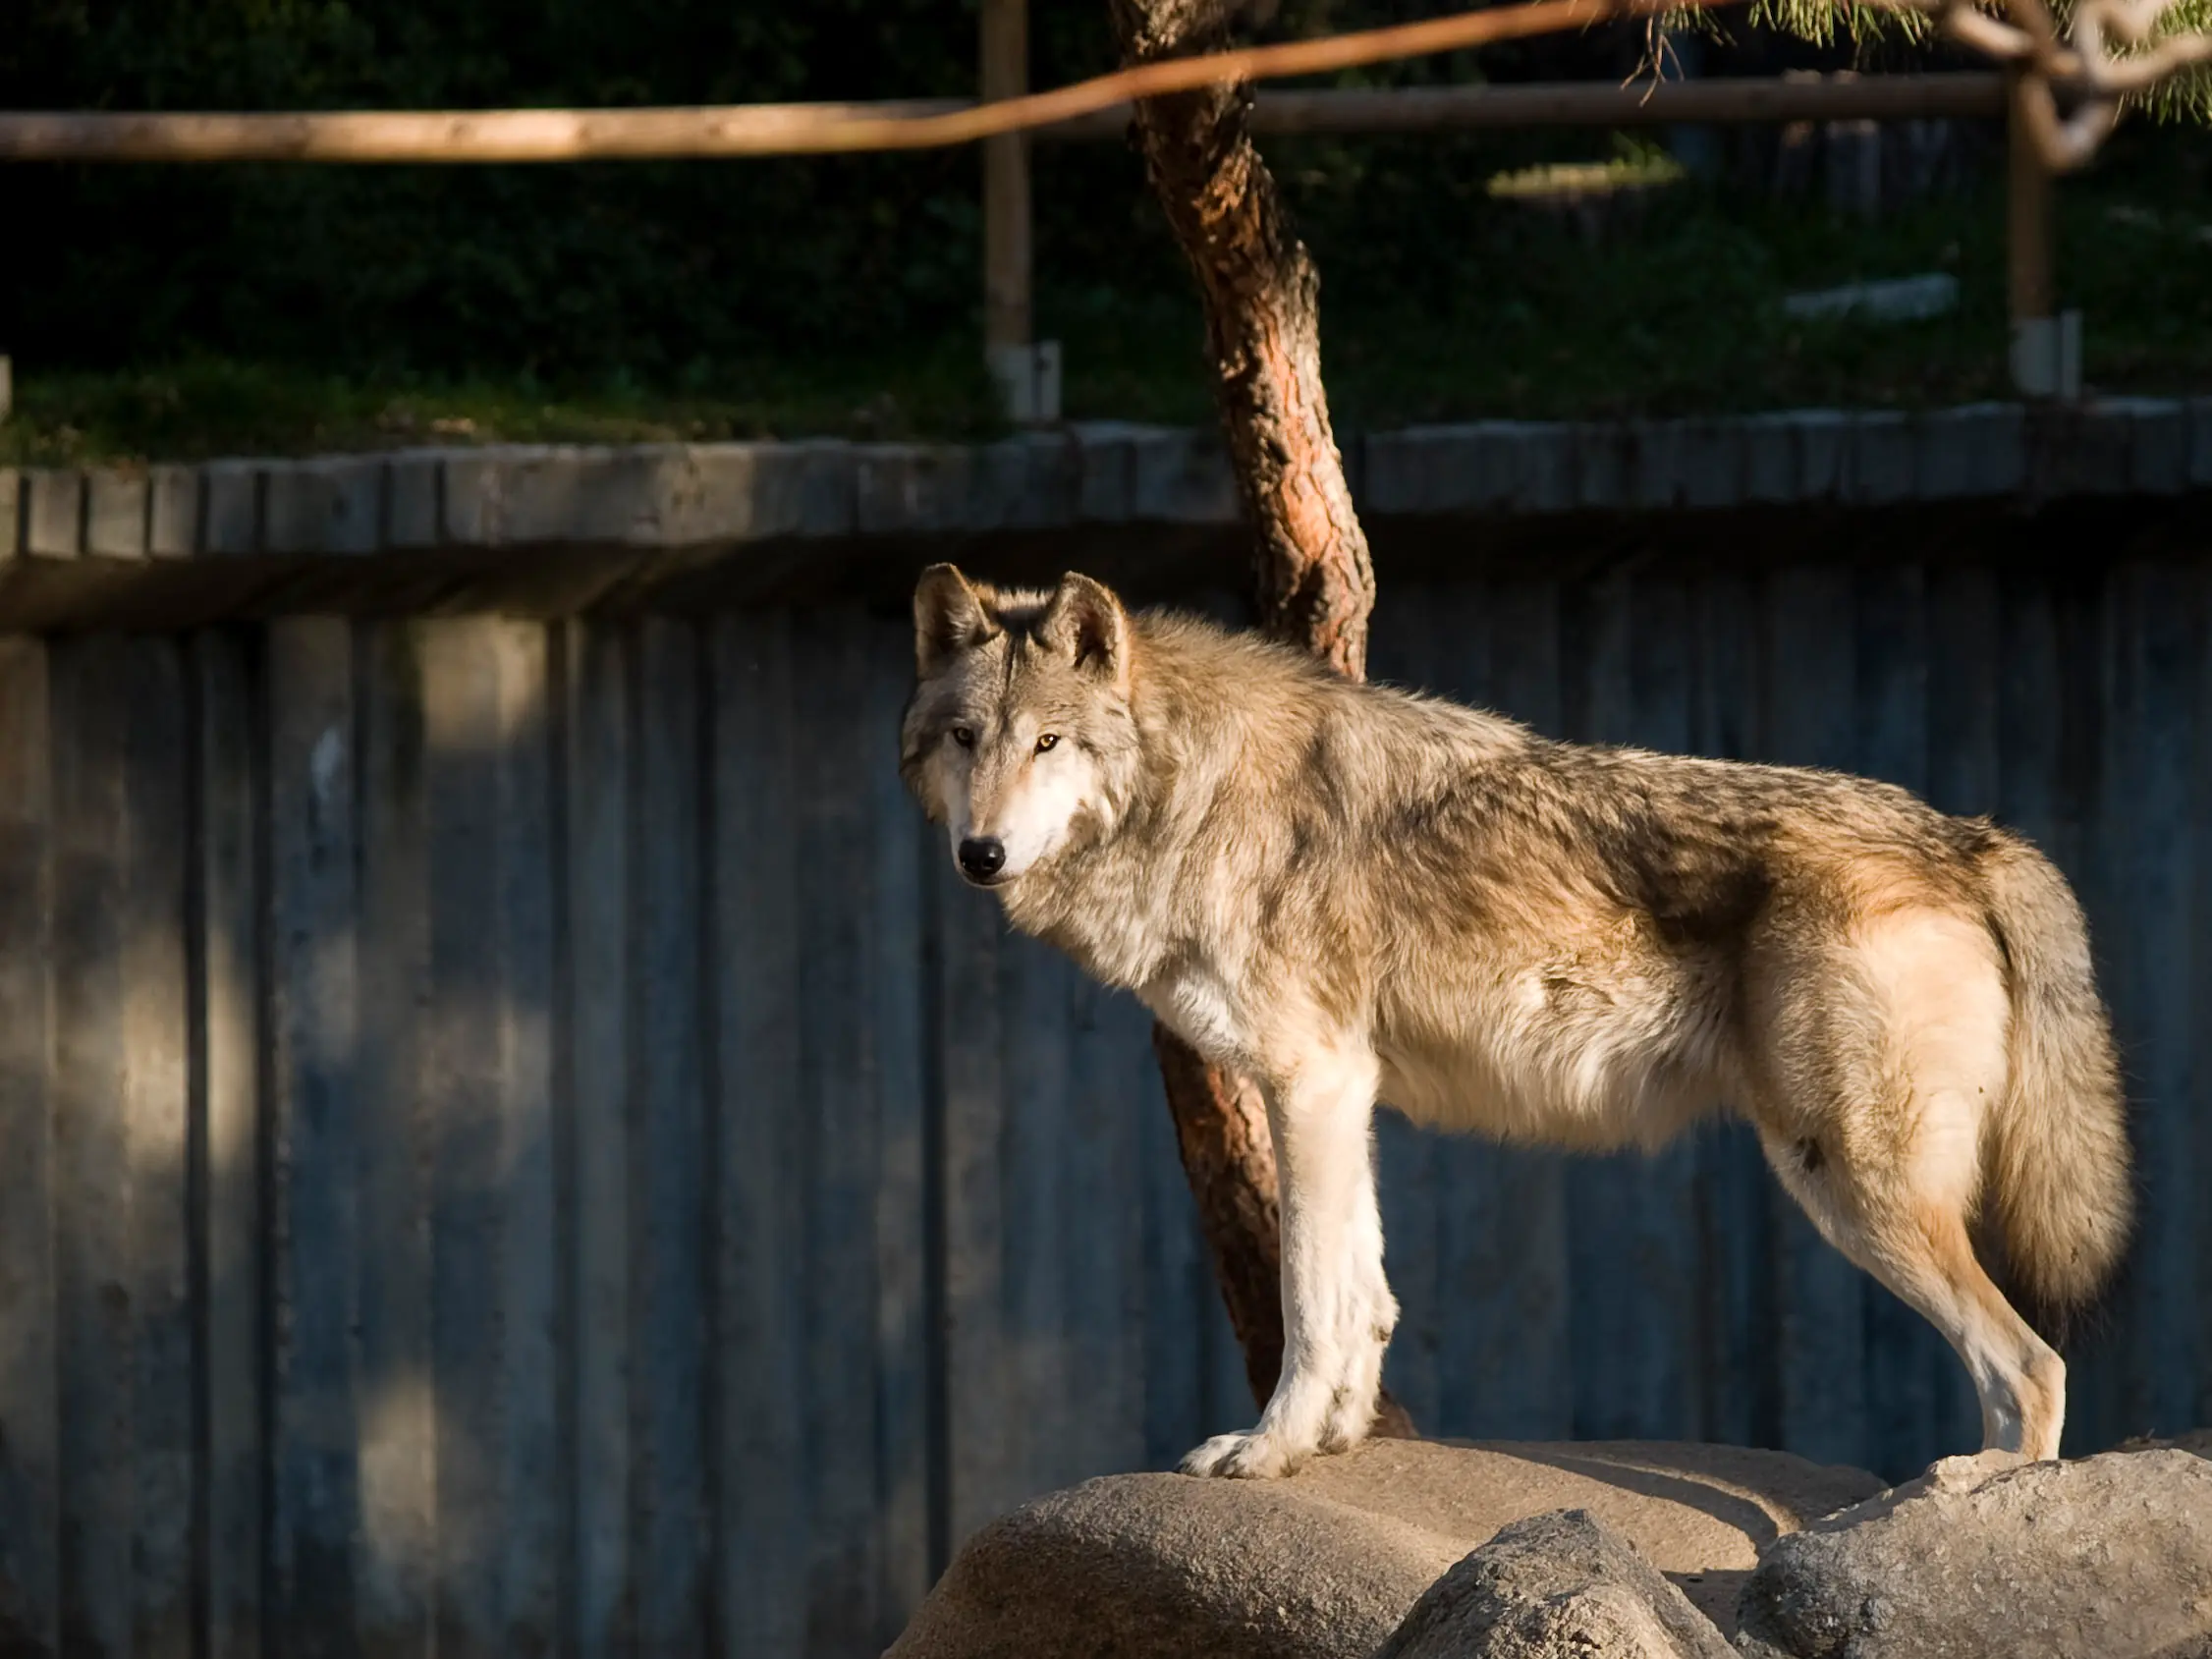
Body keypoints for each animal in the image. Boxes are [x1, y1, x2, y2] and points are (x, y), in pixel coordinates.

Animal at [899, 563, 2132, 1478]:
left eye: (1048, 743)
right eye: (965, 738)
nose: (979, 856)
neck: (1189, 790)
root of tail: (1967, 834)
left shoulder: (1304, 1082)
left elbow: (1307, 1302)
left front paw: (1267, 1450)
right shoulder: (1338, 1091)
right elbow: (1363, 1291)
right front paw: (1337, 1442)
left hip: (1847, 1179)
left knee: (2033, 1366)